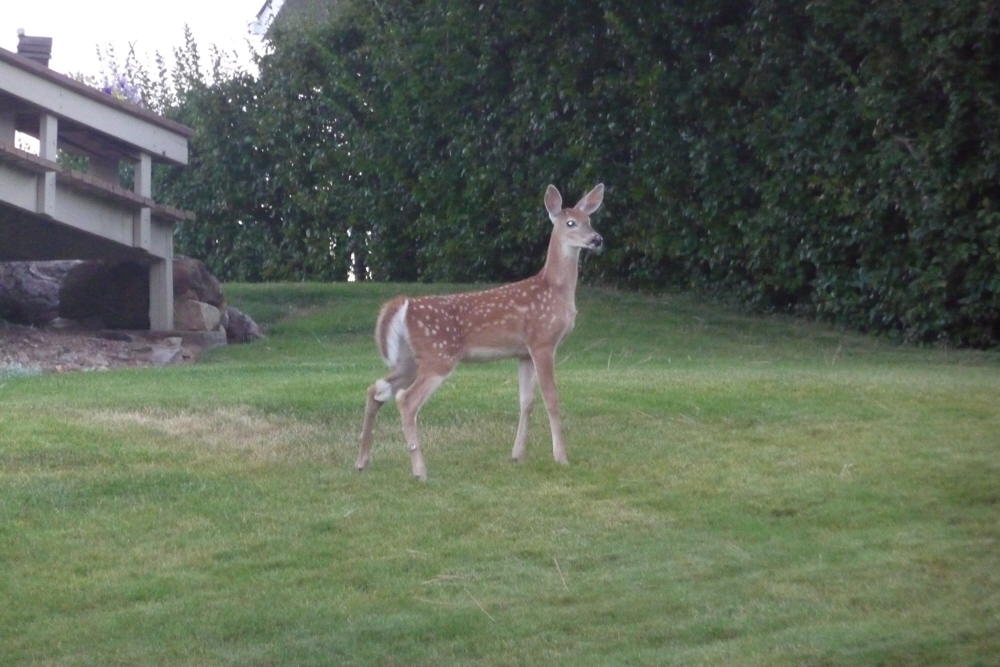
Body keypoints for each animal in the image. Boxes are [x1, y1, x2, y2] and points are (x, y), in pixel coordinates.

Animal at [362, 183, 608, 482]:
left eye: (590, 220)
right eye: (571, 223)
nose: (597, 239)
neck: (556, 291)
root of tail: (405, 304)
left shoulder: (523, 353)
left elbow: (526, 401)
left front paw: (517, 455)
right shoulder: (542, 341)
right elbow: (552, 398)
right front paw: (561, 457)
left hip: (409, 358)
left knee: (376, 389)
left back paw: (362, 461)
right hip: (439, 355)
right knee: (406, 400)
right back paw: (420, 471)